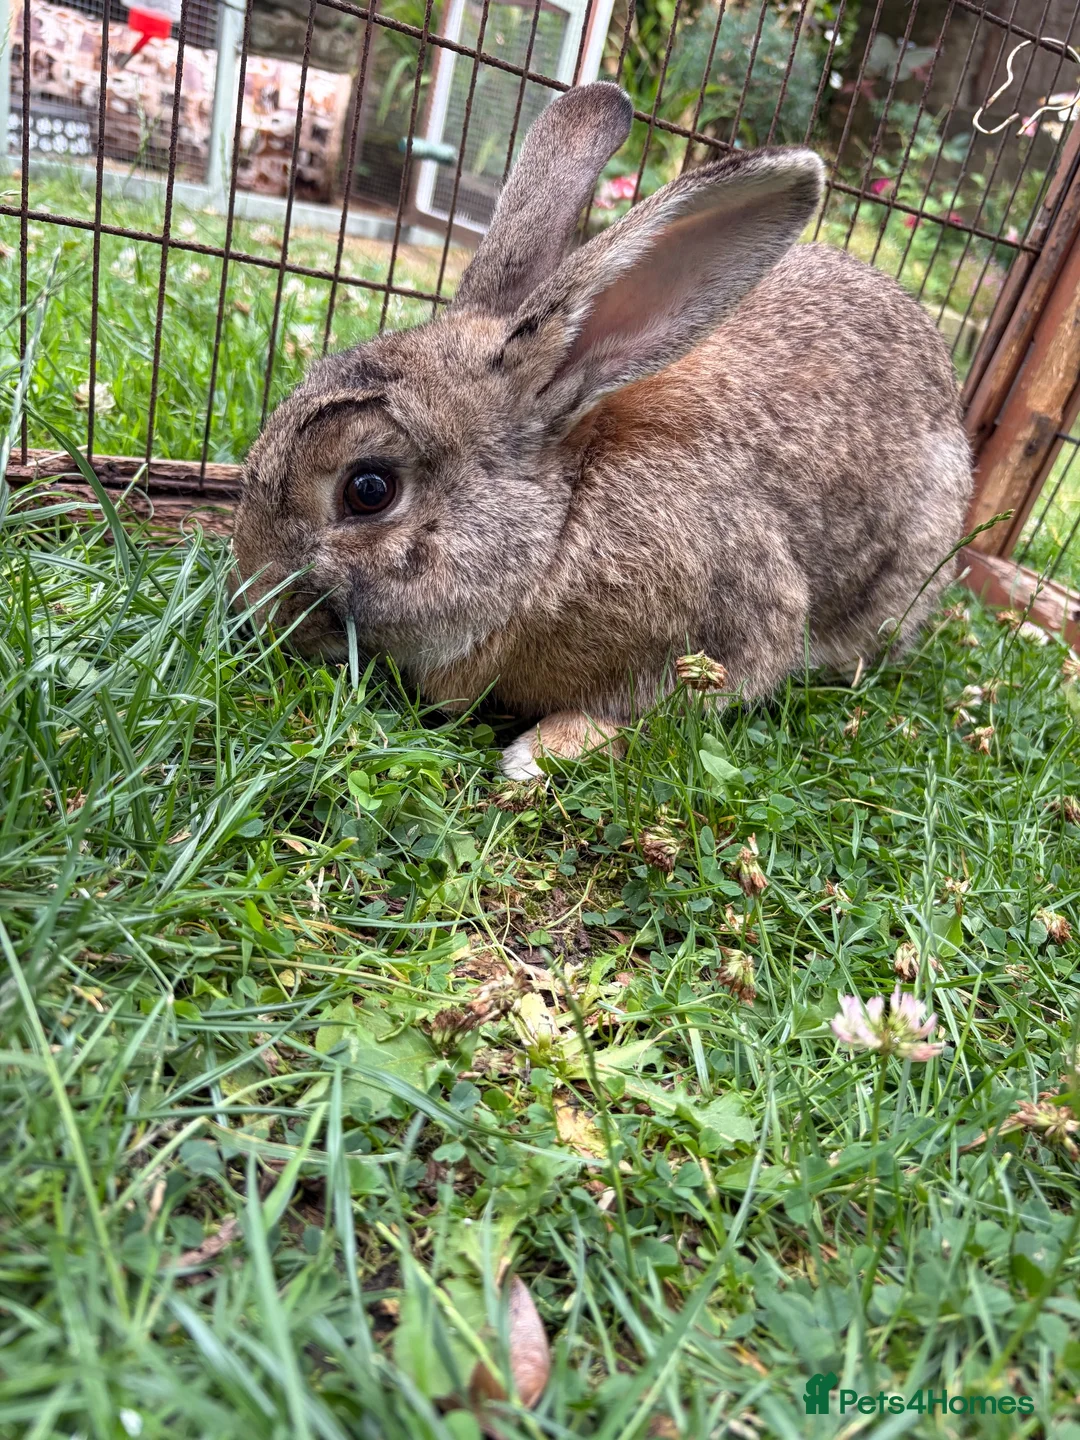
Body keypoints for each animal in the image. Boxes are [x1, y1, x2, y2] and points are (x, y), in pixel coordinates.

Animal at [233, 82, 972, 780]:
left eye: (368, 489)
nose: (254, 613)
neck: (561, 523)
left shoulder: (738, 630)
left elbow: (650, 708)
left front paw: (544, 752)